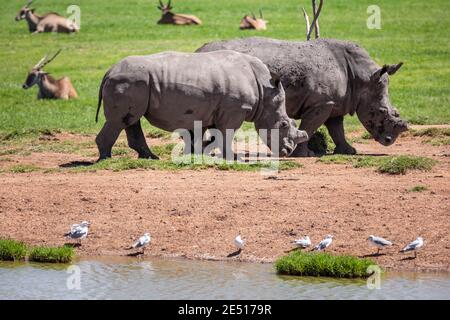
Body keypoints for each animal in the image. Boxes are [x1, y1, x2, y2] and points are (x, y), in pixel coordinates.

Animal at [93, 51, 308, 161]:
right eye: (283, 125)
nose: (288, 152)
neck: (265, 91)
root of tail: (109, 71)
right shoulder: (234, 110)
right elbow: (226, 134)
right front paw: (232, 158)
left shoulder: (207, 110)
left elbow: (202, 135)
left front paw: (195, 154)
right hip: (128, 81)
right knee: (119, 121)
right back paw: (106, 160)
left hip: (135, 82)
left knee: (131, 120)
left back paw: (150, 158)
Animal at [196, 37, 408, 157]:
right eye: (382, 111)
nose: (389, 141)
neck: (363, 78)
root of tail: (199, 50)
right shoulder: (321, 103)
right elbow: (310, 127)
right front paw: (305, 154)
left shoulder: (335, 102)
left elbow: (336, 128)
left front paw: (348, 151)